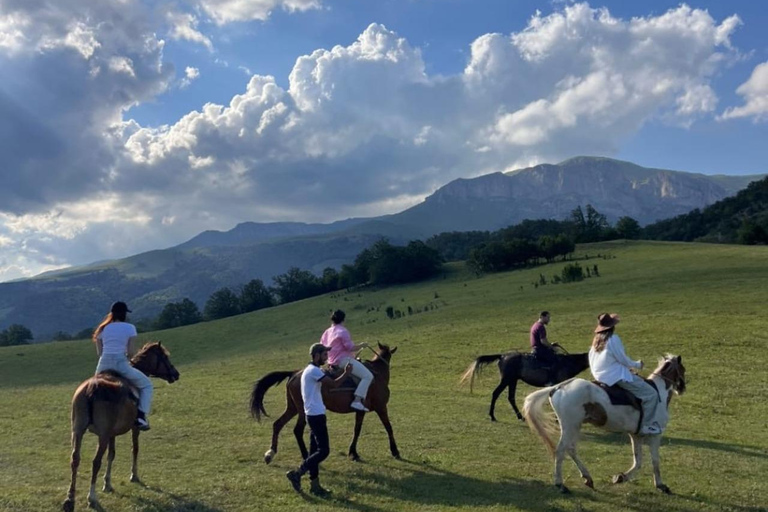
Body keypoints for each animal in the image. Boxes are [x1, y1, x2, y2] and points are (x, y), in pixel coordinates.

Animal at [62, 342, 179, 512]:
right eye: (165, 356)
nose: (176, 374)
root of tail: (92, 387)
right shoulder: (132, 429)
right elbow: (134, 449)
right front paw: (134, 476)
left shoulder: (112, 433)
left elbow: (112, 454)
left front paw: (107, 484)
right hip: (102, 435)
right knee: (96, 462)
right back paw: (92, 498)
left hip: (77, 431)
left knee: (75, 459)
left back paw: (69, 500)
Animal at [250, 344, 400, 464]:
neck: (377, 374)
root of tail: (294, 373)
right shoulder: (381, 407)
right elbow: (389, 427)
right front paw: (395, 451)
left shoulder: (360, 411)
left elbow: (357, 430)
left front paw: (353, 452)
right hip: (301, 410)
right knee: (297, 430)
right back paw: (305, 455)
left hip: (293, 408)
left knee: (278, 424)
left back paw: (270, 453)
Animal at [460, 348, 592, 424]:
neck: (567, 363)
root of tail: (502, 356)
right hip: (507, 379)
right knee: (496, 393)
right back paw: (492, 416)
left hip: (513, 380)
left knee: (511, 397)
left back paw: (520, 417)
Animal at [524, 354, 688, 494]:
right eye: (683, 370)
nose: (682, 388)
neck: (659, 392)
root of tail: (558, 387)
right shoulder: (655, 435)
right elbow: (655, 461)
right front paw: (660, 485)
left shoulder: (635, 435)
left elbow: (638, 461)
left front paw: (621, 477)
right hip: (570, 426)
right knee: (560, 451)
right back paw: (560, 484)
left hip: (574, 426)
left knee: (570, 449)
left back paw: (587, 478)